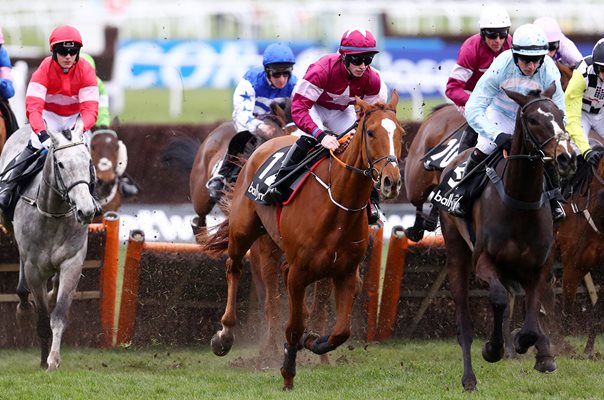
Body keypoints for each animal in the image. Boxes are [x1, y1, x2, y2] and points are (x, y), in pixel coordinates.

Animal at [0, 119, 101, 372]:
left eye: (88, 162)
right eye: (61, 164)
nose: (86, 210)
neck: (53, 214)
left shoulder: (72, 262)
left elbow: (58, 315)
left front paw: (53, 359)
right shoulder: (34, 269)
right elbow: (43, 318)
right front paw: (44, 358)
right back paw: (24, 302)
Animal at [201, 90, 404, 388]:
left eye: (401, 133)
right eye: (370, 132)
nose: (391, 181)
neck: (337, 205)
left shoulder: (345, 272)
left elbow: (339, 330)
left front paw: (314, 342)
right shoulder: (297, 273)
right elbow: (292, 325)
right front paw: (287, 371)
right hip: (244, 232)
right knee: (235, 268)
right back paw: (225, 336)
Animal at [436, 85, 568, 390]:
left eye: (560, 115)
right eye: (533, 120)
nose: (565, 155)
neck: (520, 201)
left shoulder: (539, 266)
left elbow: (532, 312)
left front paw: (531, 345)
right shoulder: (483, 260)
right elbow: (497, 299)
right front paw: (493, 348)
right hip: (456, 251)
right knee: (464, 321)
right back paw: (469, 378)